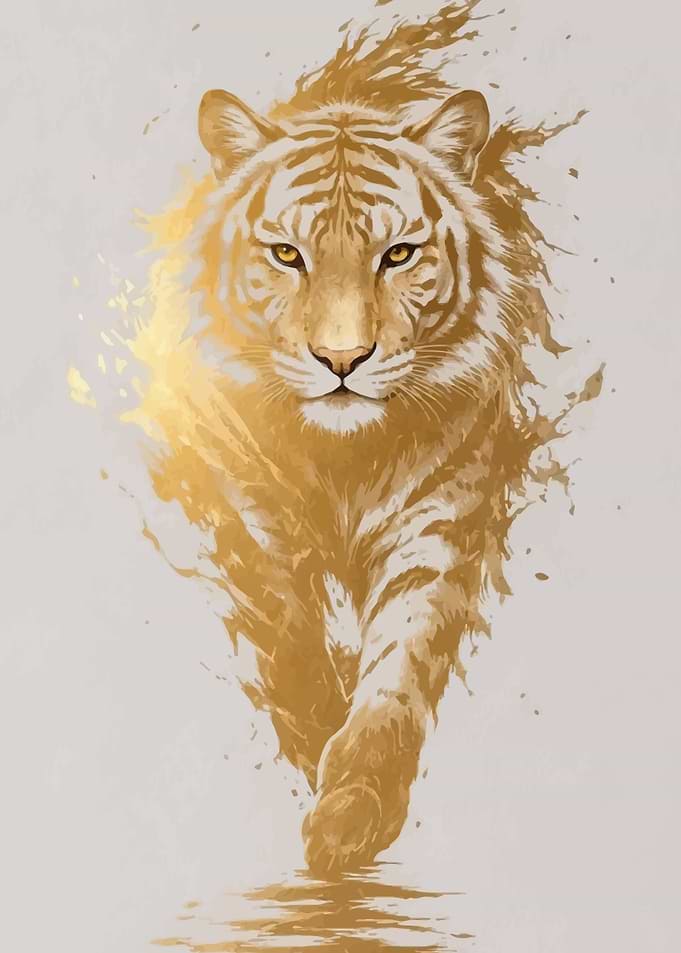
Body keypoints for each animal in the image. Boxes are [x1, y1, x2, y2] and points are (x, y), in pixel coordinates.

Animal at [126, 4, 592, 877]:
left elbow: (396, 672)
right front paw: (312, 731)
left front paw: (352, 809)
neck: (340, 458)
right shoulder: (249, 517)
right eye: (286, 254)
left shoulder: (433, 523)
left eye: (397, 254)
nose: (341, 360)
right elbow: (285, 634)